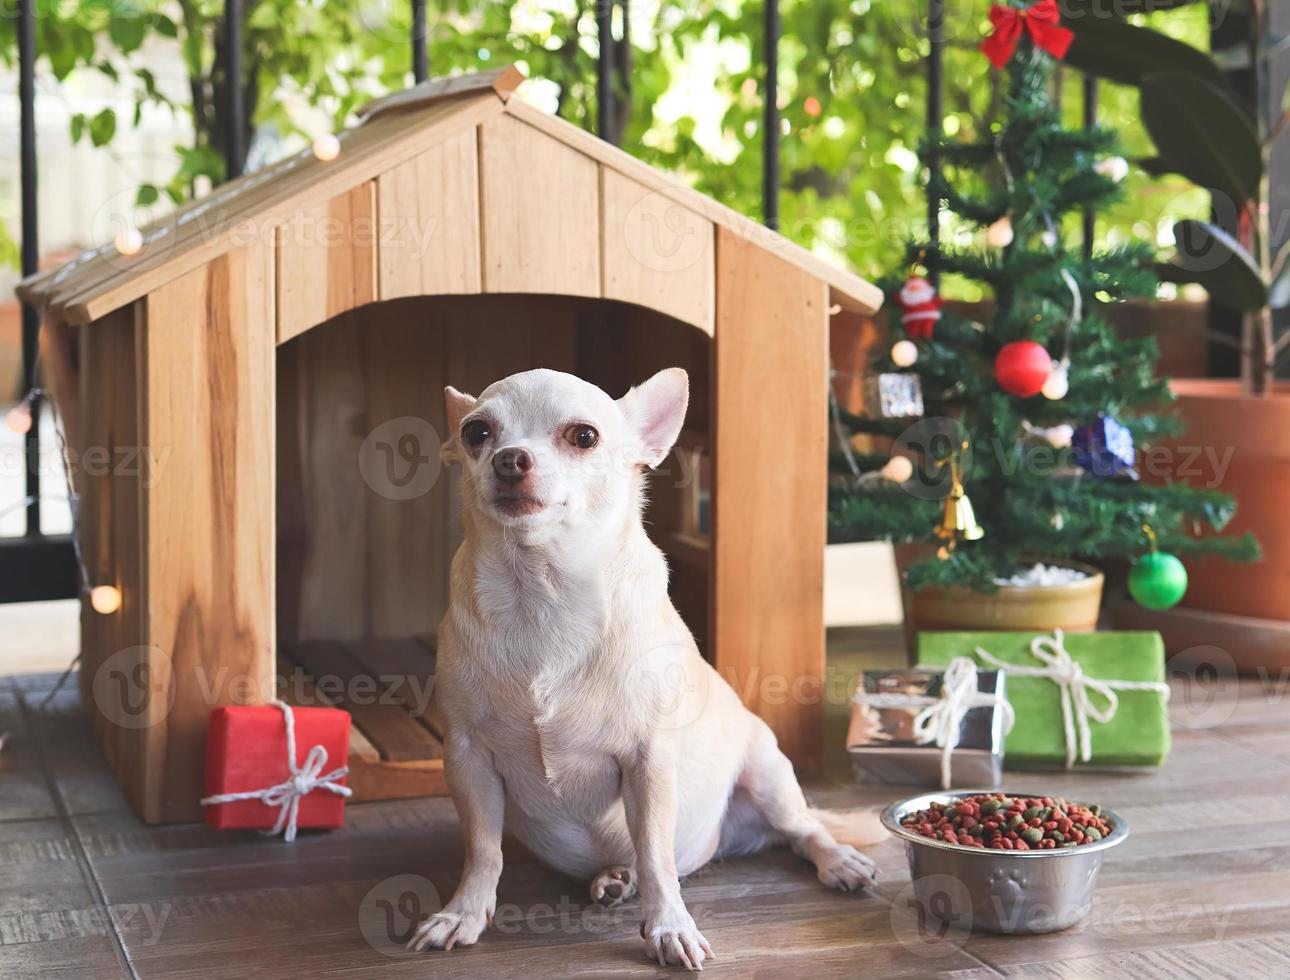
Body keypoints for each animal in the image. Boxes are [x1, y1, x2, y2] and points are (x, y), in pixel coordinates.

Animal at [410, 368, 877, 974]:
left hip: (769, 776)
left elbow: (657, 853)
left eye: (584, 436)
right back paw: (616, 877)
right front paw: (463, 913)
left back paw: (838, 860)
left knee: (805, 831)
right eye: (475, 433)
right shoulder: (468, 759)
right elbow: (483, 849)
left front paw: (669, 927)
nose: (510, 458)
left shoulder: (647, 760)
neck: (541, 593)